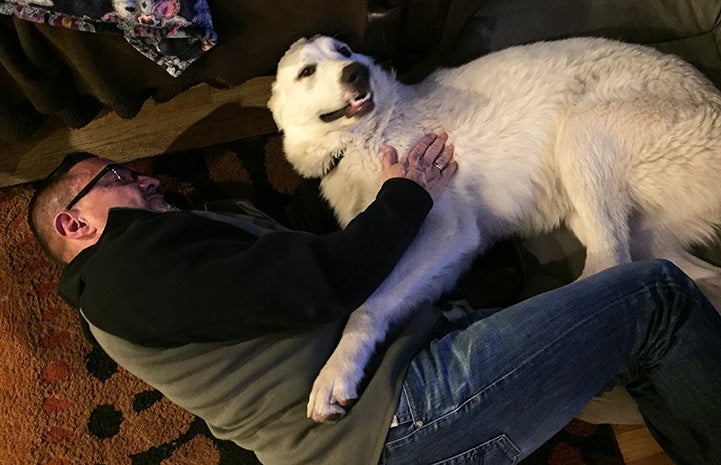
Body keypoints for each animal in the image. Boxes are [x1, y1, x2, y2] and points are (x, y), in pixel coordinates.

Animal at [268, 34, 720, 422]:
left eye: (344, 51)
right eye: (307, 71)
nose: (356, 72)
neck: (364, 137)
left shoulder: (448, 229)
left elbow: (366, 306)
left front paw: (336, 372)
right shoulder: (445, 254)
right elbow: (393, 301)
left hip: (582, 133)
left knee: (610, 262)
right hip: (635, 230)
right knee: (687, 273)